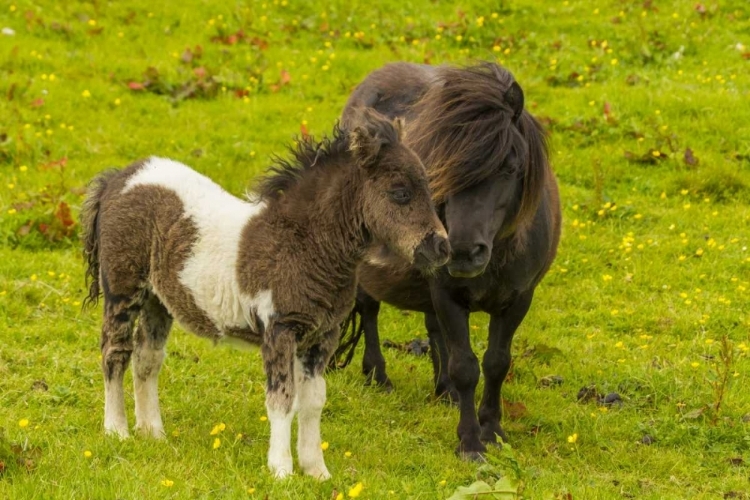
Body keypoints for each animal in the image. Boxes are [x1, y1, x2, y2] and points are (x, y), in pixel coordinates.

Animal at [338, 63, 560, 460]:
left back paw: (444, 391)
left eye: (510, 167)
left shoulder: (518, 300)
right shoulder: (447, 294)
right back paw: (378, 376)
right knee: (368, 309)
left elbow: (496, 363)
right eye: (442, 168)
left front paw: (493, 430)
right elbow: (465, 366)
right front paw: (470, 441)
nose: (463, 252)